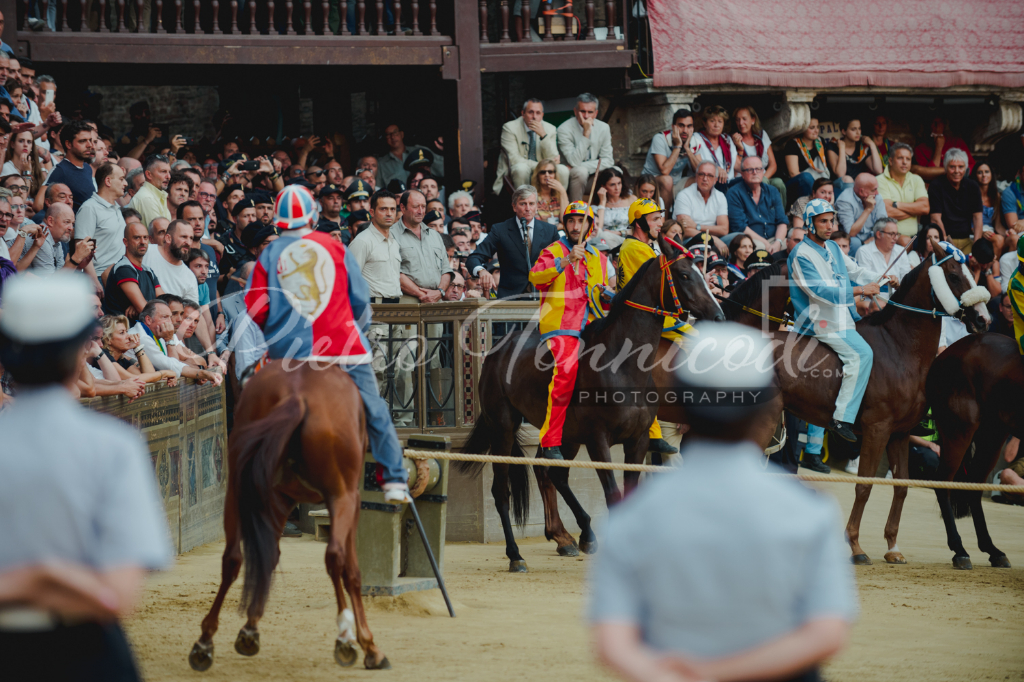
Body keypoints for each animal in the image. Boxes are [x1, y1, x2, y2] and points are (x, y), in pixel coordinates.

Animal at [186, 360, 389, 667]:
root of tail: (296, 396)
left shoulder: (280, 499)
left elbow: (268, 556)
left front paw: (250, 628)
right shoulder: (351, 502)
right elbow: (352, 571)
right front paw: (369, 645)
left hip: (237, 493)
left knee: (232, 558)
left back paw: (204, 642)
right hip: (341, 496)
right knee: (336, 558)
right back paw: (345, 637)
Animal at [460, 238, 724, 569]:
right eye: (685, 275)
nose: (718, 315)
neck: (622, 363)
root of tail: (499, 348)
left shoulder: (636, 441)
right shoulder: (598, 440)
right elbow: (613, 496)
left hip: (565, 436)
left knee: (553, 472)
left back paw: (576, 536)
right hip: (503, 427)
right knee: (501, 491)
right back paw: (516, 555)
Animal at [925, 331, 1019, 565]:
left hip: (992, 434)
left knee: (974, 486)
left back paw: (992, 549)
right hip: (960, 428)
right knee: (943, 482)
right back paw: (959, 549)